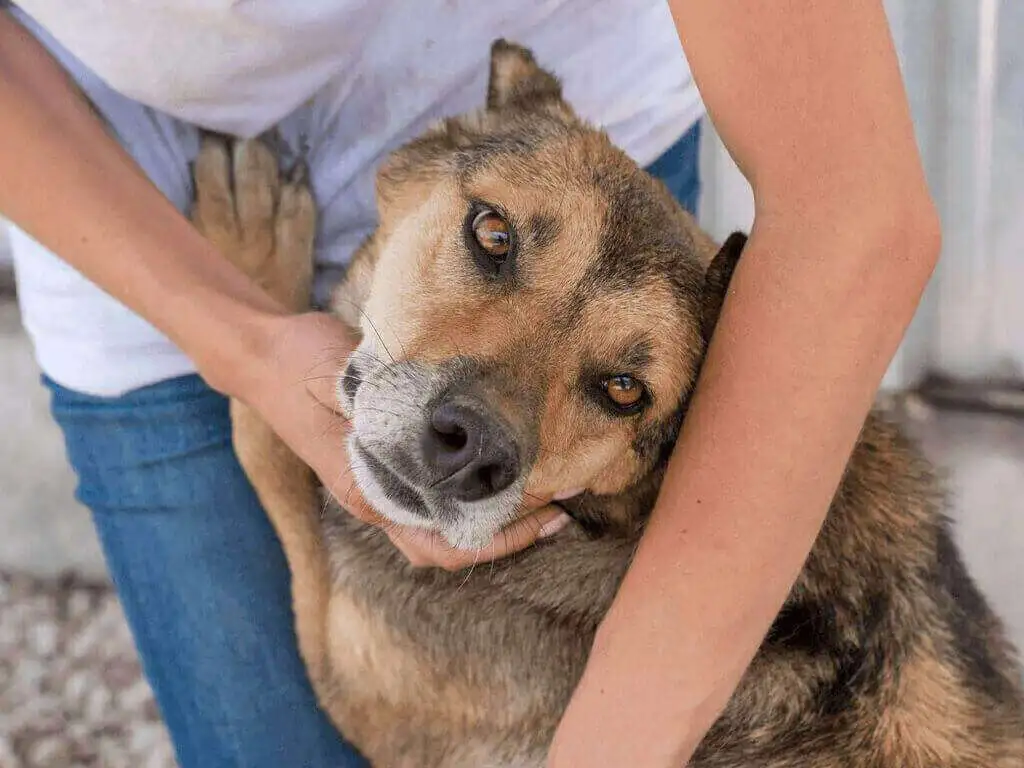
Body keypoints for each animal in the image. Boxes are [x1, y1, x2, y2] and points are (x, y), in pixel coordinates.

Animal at [190, 41, 1024, 768]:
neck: (616, 520)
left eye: (625, 390)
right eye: (492, 233)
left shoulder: (353, 682)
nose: (471, 451)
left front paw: (248, 240)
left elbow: (266, 446)